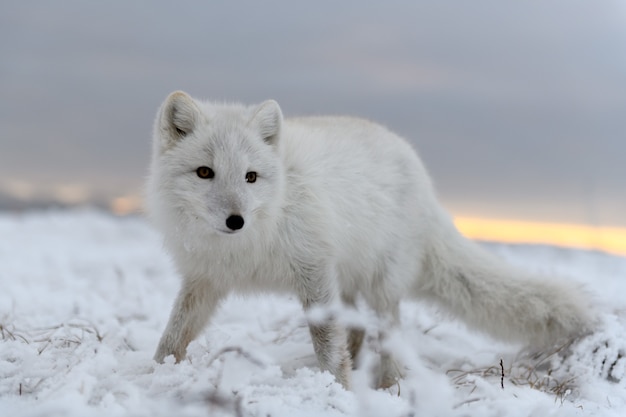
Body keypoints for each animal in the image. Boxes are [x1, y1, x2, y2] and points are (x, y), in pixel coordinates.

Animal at [147, 89, 596, 388]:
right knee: (358, 330)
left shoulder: (313, 269)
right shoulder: (206, 278)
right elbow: (173, 333)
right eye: (205, 172)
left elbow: (327, 342)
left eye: (251, 177)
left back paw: (389, 386)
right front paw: (154, 373)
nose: (236, 220)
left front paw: (338, 389)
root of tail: (424, 181)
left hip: (380, 285)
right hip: (346, 280)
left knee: (387, 333)